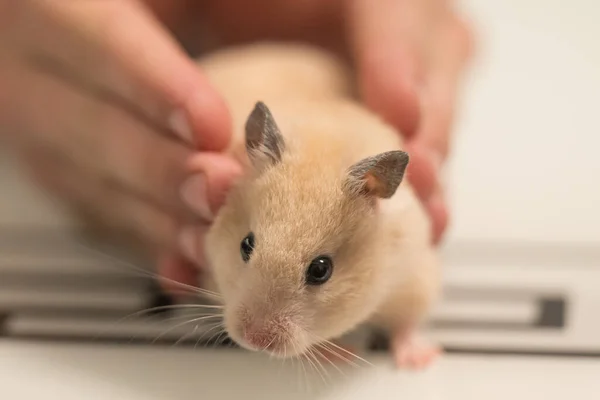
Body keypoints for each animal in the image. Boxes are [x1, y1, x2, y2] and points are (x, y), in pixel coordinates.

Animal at [197, 42, 440, 368]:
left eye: (321, 270)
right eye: (245, 245)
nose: (255, 341)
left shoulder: (415, 273)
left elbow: (408, 321)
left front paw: (418, 361)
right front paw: (343, 354)